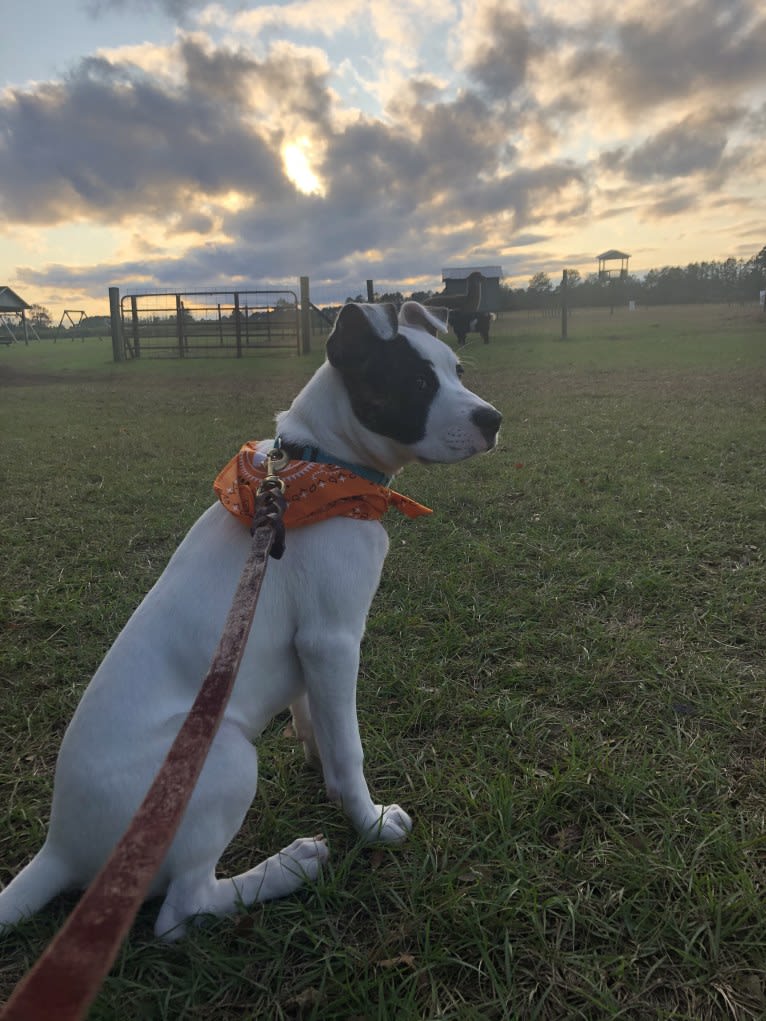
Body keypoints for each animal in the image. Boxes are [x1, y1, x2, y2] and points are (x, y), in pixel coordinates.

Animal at [0, 300, 504, 939]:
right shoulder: (333, 640)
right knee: (180, 912)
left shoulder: (311, 652)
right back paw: (291, 866)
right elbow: (351, 747)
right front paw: (368, 821)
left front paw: (323, 771)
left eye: (457, 369)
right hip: (225, 758)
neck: (324, 467)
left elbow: (318, 721)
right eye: (415, 383)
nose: (494, 419)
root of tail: (60, 849)